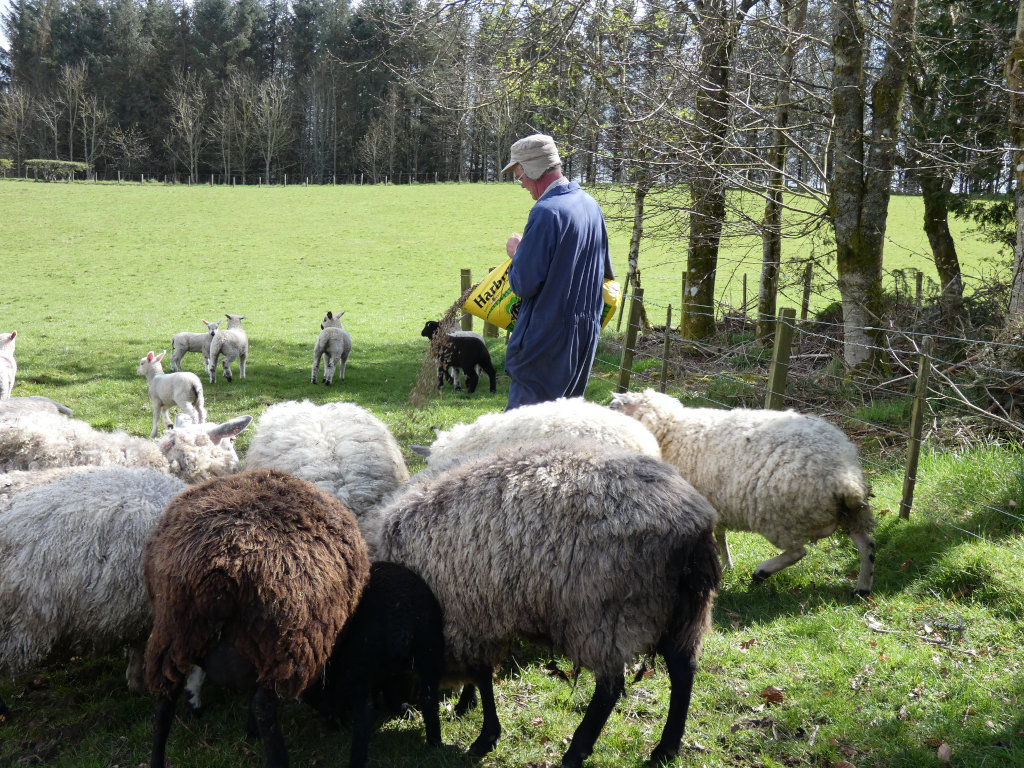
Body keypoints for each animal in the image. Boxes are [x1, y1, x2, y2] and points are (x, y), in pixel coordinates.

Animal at [143, 469, 371, 768]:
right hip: (287, 644)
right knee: (264, 706)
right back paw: (277, 757)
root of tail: (219, 570)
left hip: (174, 629)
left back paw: (157, 759)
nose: (338, 722)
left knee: (164, 700)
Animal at [362, 440, 721, 768]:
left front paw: (484, 734)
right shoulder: (477, 618)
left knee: (610, 686)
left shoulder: (463, 618)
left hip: (606, 612)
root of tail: (695, 525)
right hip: (681, 610)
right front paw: (467, 706)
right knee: (684, 669)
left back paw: (577, 751)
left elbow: (482, 674)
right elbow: (480, 675)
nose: (397, 710)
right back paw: (666, 748)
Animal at [608, 388, 876, 596]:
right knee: (867, 546)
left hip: (780, 517)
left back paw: (761, 572)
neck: (671, 431)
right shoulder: (714, 504)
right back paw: (862, 587)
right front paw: (726, 565)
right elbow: (720, 535)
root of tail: (843, 476)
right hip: (851, 513)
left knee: (798, 552)